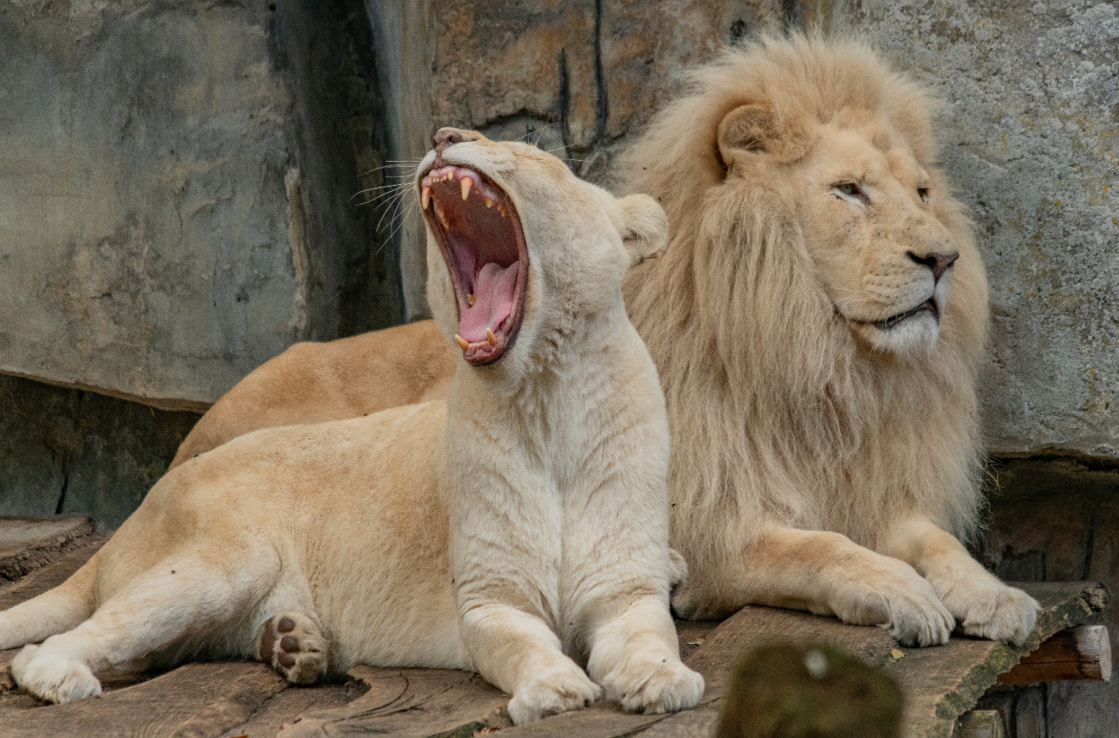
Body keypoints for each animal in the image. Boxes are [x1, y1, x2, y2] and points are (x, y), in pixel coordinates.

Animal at [163, 36, 1029, 644]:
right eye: (848, 192)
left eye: (922, 193)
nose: (942, 259)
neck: (810, 372)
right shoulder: (699, 520)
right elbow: (817, 550)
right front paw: (902, 593)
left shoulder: (871, 485)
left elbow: (932, 540)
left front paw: (996, 598)